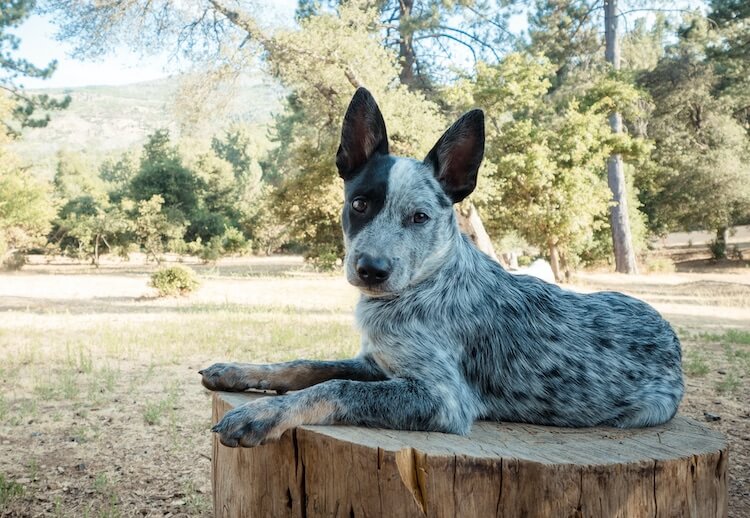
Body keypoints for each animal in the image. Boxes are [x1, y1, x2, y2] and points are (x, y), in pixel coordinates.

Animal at [201, 87, 688, 448]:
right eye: (360, 204)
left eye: (420, 217)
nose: (371, 269)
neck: (424, 286)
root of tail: (670, 332)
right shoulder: (377, 363)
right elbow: (307, 366)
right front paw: (242, 372)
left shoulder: (442, 398)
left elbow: (332, 387)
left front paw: (264, 413)